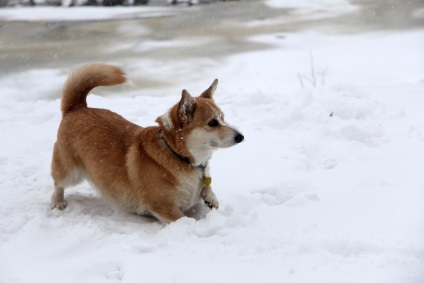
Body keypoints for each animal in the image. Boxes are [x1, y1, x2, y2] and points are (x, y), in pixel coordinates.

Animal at [50, 63, 243, 224]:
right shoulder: (165, 208)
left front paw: (211, 197)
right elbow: (185, 221)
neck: (178, 155)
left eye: (223, 118)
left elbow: (207, 194)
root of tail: (77, 107)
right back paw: (58, 203)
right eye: (212, 122)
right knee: (58, 183)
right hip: (70, 170)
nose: (241, 137)